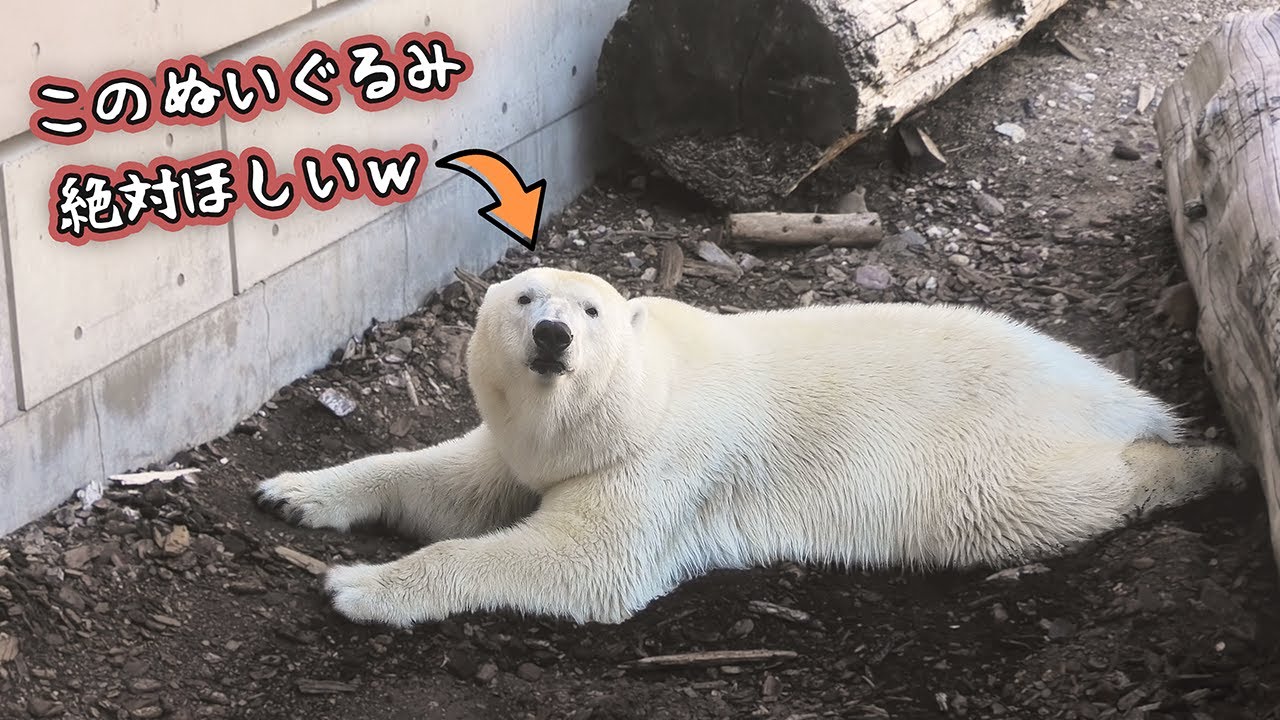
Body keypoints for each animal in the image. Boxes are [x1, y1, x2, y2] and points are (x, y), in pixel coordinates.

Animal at [254, 266, 1249, 628]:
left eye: (590, 309)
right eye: (525, 298)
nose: (552, 338)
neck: (640, 396)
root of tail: (1113, 392)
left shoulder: (659, 463)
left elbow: (586, 561)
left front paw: (358, 586)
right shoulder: (536, 445)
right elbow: (460, 477)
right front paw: (295, 490)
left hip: (988, 452)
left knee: (1035, 499)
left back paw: (1205, 460)